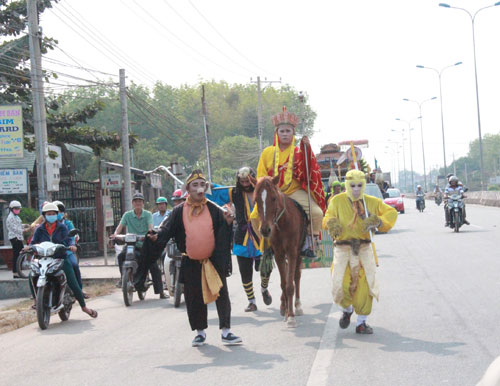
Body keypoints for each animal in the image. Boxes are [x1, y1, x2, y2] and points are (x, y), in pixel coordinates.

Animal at [256, 176, 306, 328]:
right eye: (256, 199)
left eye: (273, 198)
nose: (265, 230)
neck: (282, 223)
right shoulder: (278, 253)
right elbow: (284, 283)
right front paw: (286, 311)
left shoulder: (292, 251)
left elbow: (290, 285)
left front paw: (291, 317)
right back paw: (284, 306)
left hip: (299, 251)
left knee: (297, 276)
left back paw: (298, 306)